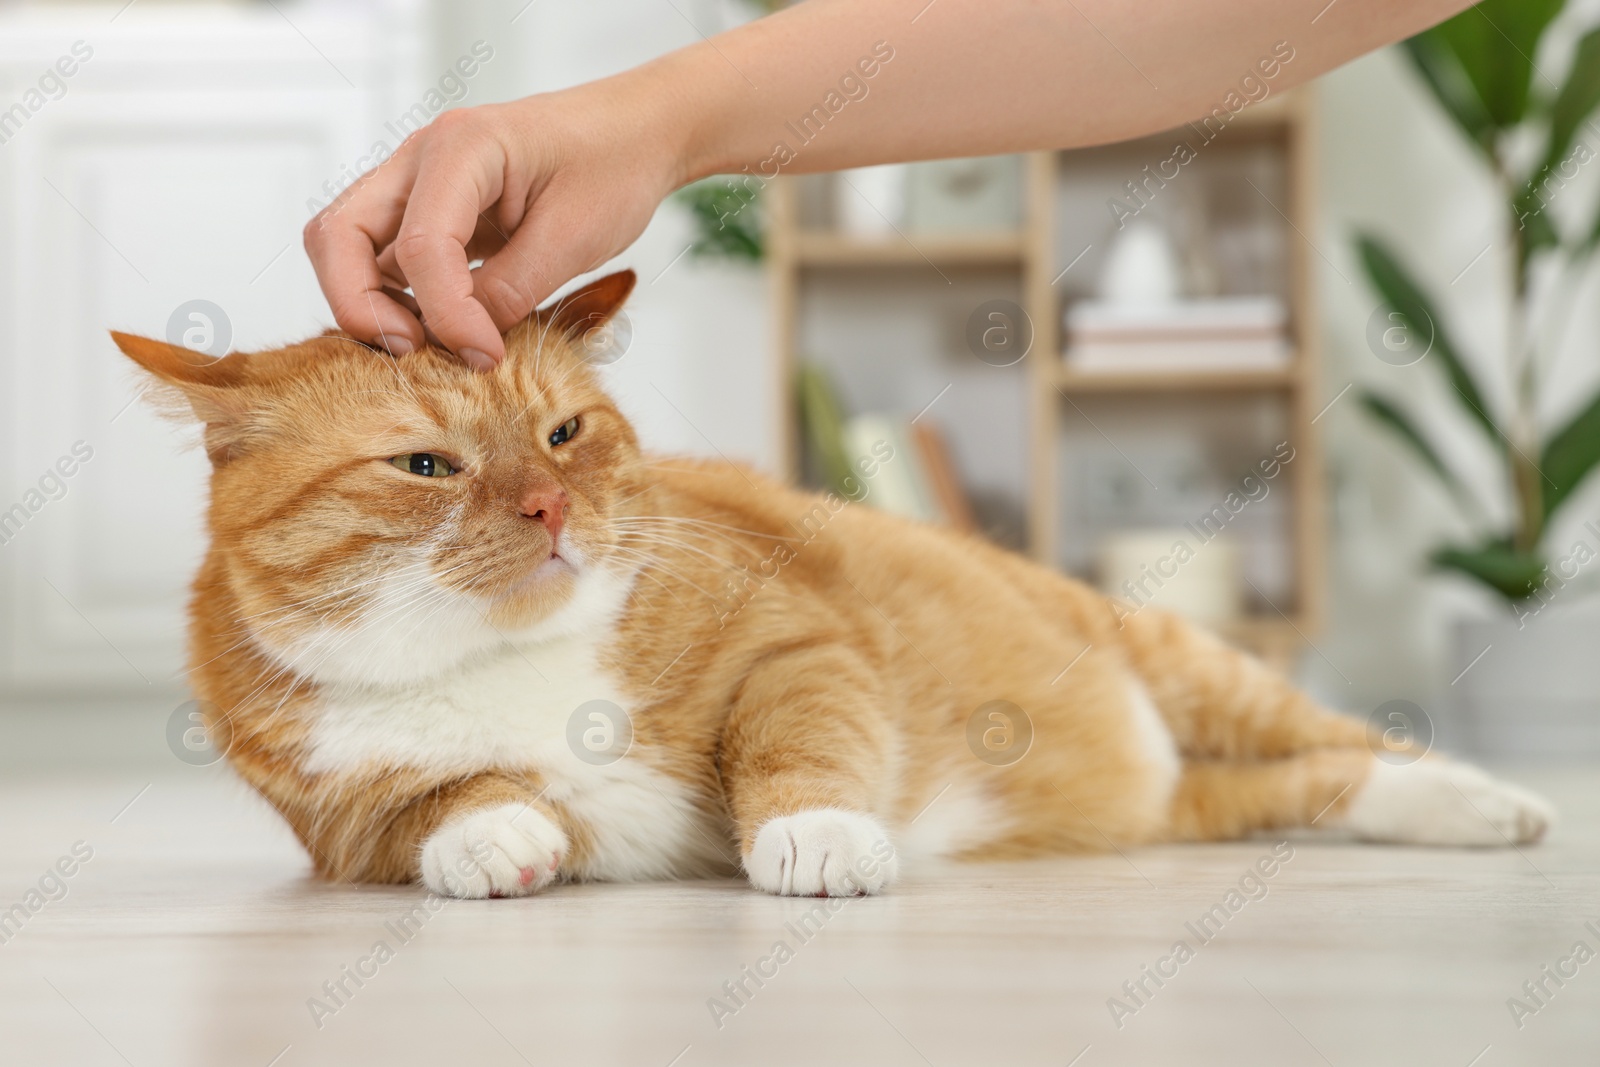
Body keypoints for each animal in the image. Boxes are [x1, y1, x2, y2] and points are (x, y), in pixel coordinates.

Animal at [116, 271, 1548, 895]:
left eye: (565, 433)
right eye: (425, 463)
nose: (552, 504)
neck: (501, 660)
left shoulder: (795, 644)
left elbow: (795, 739)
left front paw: (810, 831)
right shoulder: (330, 817)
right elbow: (426, 803)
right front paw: (494, 828)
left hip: (1194, 670)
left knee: (1350, 743)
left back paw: (1489, 799)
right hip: (1178, 803)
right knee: (1290, 788)